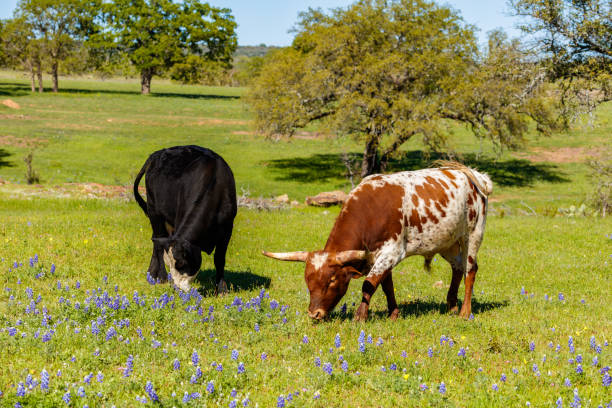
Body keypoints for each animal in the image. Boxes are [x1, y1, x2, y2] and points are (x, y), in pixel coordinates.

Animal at [262, 161, 492, 320]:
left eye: (332, 280)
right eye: (307, 281)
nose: (314, 314)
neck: (370, 210)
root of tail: (474, 176)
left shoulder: (391, 252)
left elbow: (369, 284)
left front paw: (360, 317)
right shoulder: (379, 257)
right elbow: (386, 285)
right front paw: (393, 313)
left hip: (473, 234)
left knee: (470, 270)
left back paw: (465, 312)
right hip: (447, 242)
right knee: (458, 268)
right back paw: (452, 306)